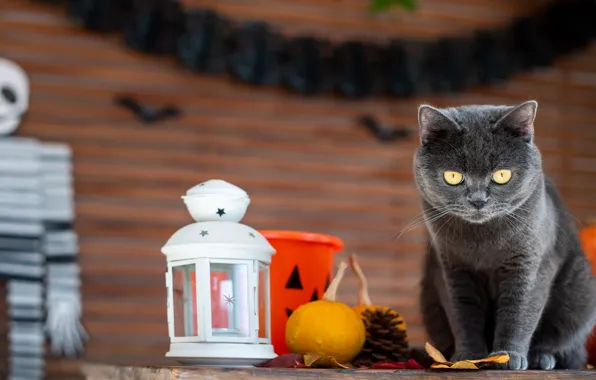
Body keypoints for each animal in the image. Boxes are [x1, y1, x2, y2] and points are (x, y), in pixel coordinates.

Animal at [414, 99, 596, 370]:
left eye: (501, 175)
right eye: (453, 176)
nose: (478, 200)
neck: (482, 242)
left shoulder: (530, 264)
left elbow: (518, 311)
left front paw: (507, 357)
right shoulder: (452, 269)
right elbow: (462, 314)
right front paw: (468, 357)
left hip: (580, 292)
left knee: (566, 346)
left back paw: (542, 358)